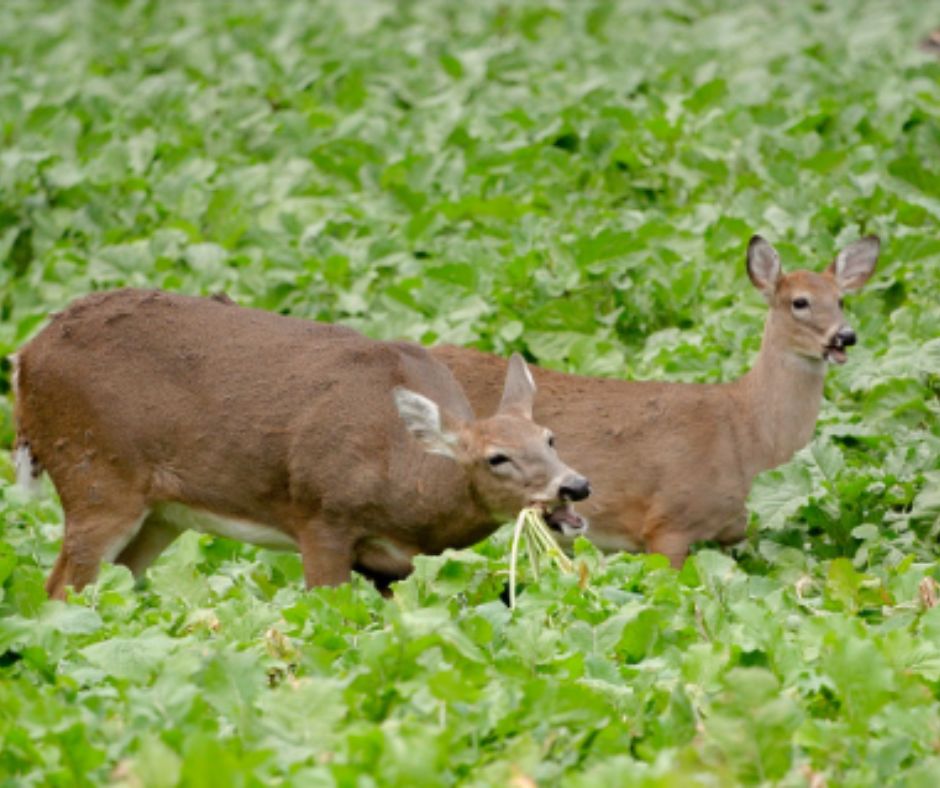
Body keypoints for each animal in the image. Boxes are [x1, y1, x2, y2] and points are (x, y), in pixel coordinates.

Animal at [12, 290, 588, 596]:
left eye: (550, 437)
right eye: (497, 458)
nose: (575, 486)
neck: (403, 472)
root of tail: (24, 357)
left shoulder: (392, 565)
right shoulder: (321, 516)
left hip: (161, 514)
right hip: (96, 474)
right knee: (59, 588)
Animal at [434, 234, 880, 568]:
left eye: (841, 300)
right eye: (799, 302)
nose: (845, 336)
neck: (746, 436)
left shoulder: (736, 537)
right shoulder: (668, 523)